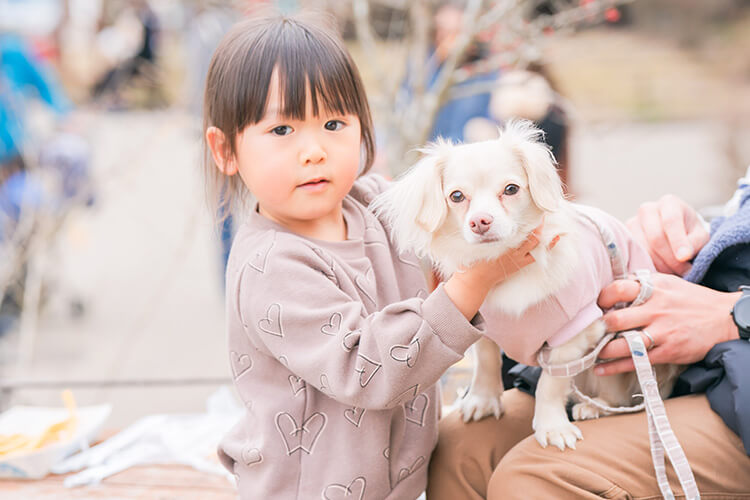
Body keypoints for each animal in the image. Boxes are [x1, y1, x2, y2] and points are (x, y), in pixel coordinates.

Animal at [374, 120, 684, 450]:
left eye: (511, 190)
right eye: (457, 196)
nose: (480, 221)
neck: (505, 270)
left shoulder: (572, 336)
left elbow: (550, 385)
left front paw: (552, 427)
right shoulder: (481, 326)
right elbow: (486, 361)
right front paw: (483, 400)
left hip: (618, 349)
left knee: (617, 393)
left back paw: (595, 406)